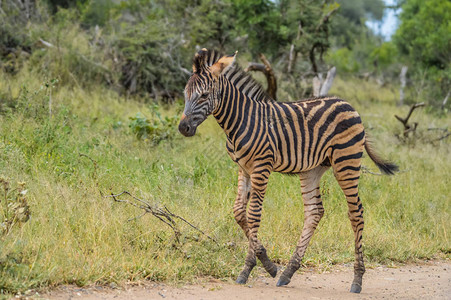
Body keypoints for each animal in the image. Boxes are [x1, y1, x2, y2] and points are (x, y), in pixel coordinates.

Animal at [178, 48, 398, 292]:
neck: (240, 120)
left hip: (346, 163)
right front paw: (269, 265)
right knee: (314, 211)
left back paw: (357, 279)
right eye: (186, 94)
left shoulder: (261, 167)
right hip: (312, 169)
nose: (183, 128)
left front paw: (248, 268)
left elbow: (253, 215)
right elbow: (238, 212)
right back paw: (288, 272)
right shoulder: (243, 169)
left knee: (356, 212)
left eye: (204, 95)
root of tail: (348, 104)